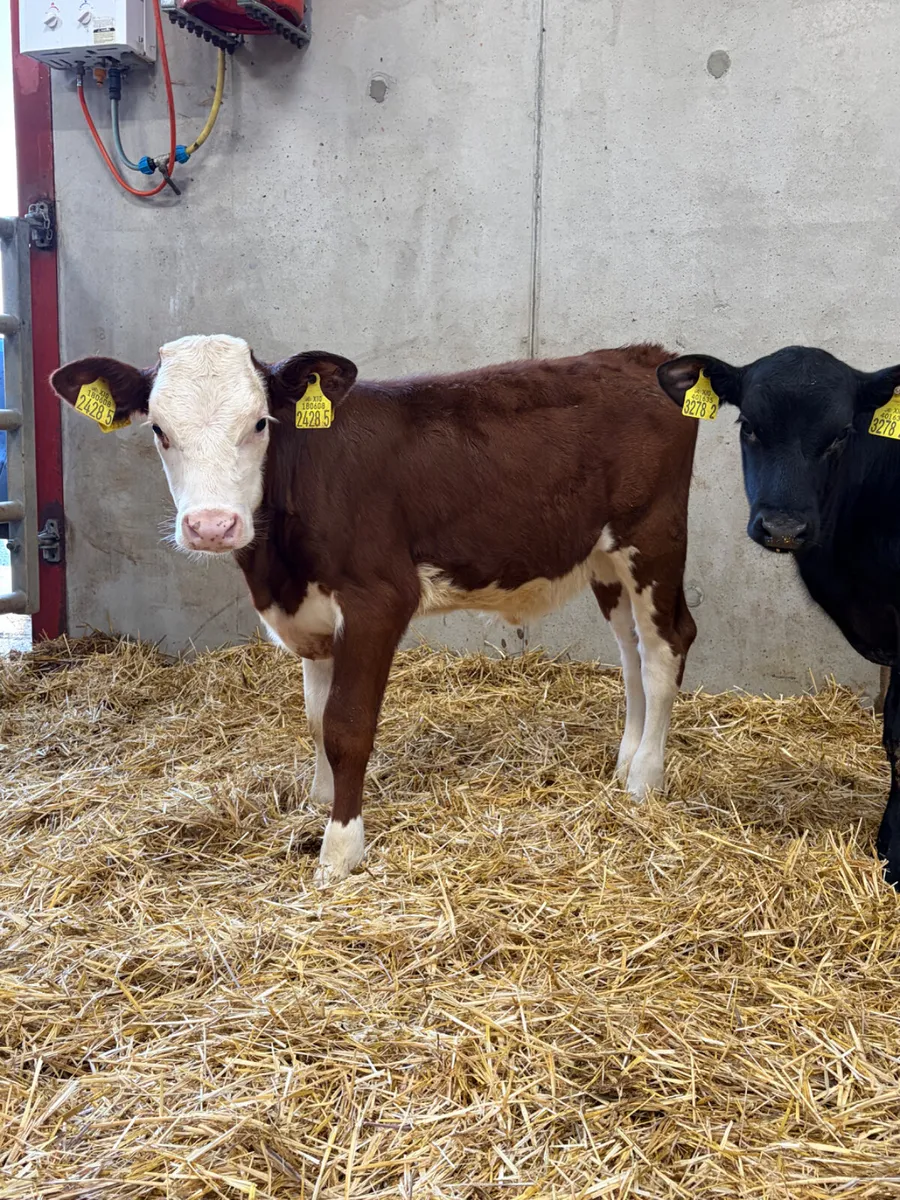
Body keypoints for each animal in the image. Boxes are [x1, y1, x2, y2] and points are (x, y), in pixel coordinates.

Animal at [52, 336, 698, 885]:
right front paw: (317, 798)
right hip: (606, 558)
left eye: (259, 423)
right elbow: (315, 717)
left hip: (654, 539)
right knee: (631, 650)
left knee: (667, 645)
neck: (276, 570)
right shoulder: (309, 614)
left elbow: (347, 725)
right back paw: (625, 761)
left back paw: (645, 779)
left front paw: (340, 849)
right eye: (160, 430)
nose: (212, 526)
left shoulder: (377, 601)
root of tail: (646, 354)